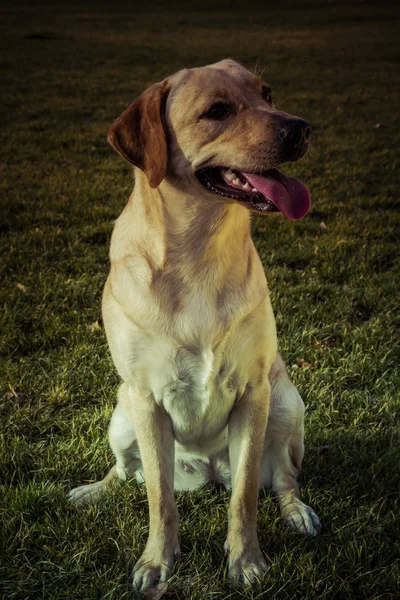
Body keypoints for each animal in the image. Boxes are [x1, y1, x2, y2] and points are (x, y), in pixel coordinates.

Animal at [68, 58, 318, 592]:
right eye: (217, 111)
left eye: (267, 93)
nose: (301, 128)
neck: (200, 252)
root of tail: (208, 473)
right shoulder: (146, 399)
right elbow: (160, 500)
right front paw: (157, 561)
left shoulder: (253, 393)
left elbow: (244, 496)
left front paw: (246, 560)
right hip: (121, 416)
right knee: (127, 473)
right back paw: (92, 491)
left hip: (286, 402)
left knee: (283, 480)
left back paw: (297, 513)